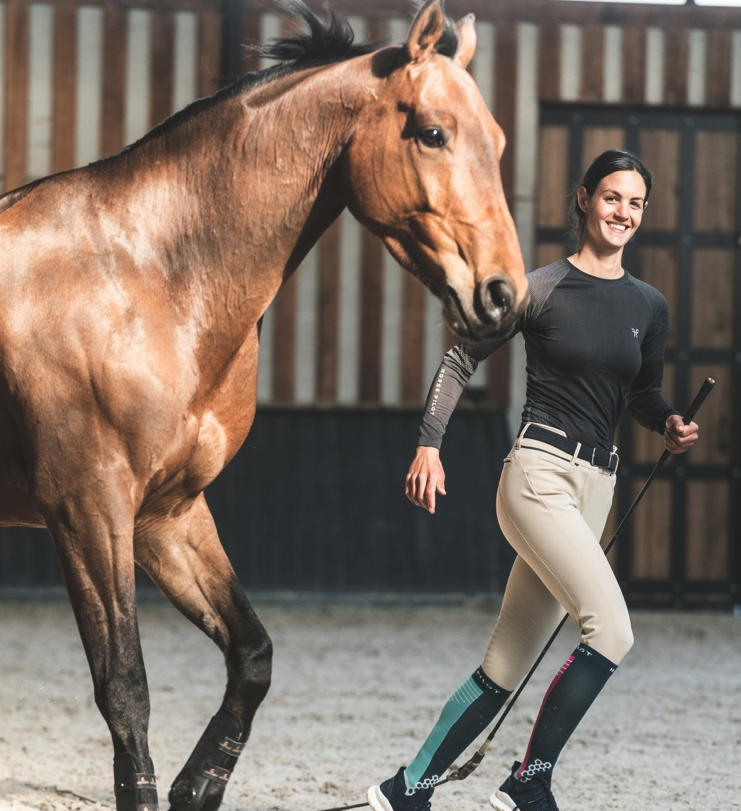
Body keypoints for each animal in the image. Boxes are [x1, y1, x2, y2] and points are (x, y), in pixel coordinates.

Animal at [0, 1, 527, 808]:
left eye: (496, 141)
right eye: (433, 132)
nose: (503, 296)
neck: (146, 280)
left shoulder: (167, 515)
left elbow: (252, 655)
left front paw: (199, 784)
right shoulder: (88, 515)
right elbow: (125, 688)